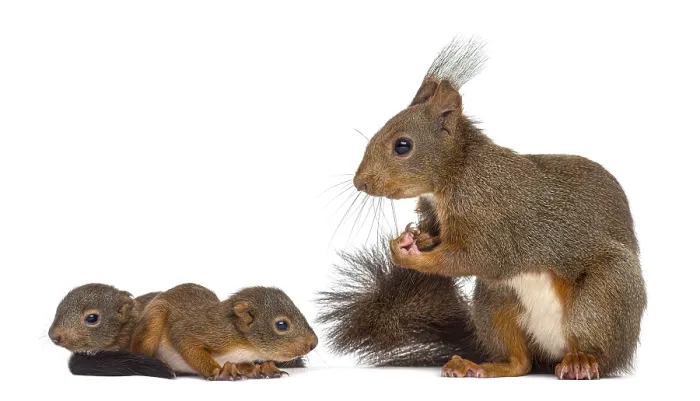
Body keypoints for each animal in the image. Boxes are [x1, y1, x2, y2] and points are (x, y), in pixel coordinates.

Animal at [49, 282, 318, 380]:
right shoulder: (202, 330)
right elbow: (186, 341)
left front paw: (261, 368)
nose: (313, 343)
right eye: (282, 325)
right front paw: (218, 371)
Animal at [318, 37, 646, 380]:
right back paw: (476, 365)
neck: (457, 172)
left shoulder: (491, 222)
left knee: (599, 351)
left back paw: (581, 361)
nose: (360, 183)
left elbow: (472, 258)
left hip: (602, 296)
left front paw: (408, 254)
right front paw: (415, 238)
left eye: (402, 146)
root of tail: (552, 353)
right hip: (496, 303)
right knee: (520, 362)